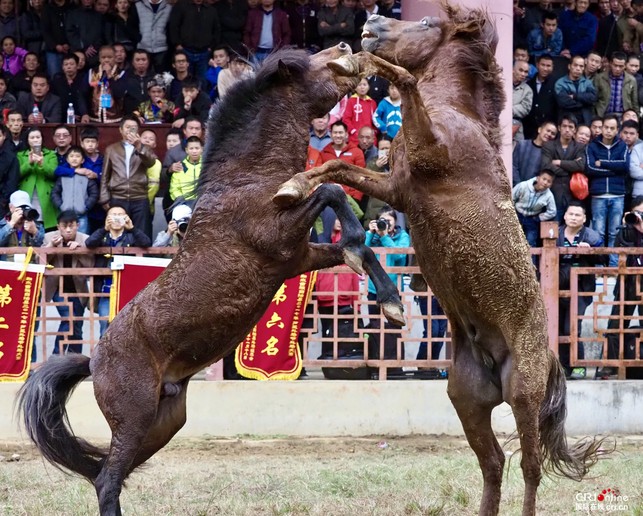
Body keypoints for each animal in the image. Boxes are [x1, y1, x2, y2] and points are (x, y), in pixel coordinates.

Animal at [17, 44, 406, 516]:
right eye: (312, 64)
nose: (350, 48)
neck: (246, 179)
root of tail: (93, 361)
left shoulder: (296, 258)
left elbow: (359, 247)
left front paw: (392, 303)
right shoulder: (278, 236)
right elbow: (329, 192)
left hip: (164, 421)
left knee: (104, 475)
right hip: (135, 417)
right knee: (107, 479)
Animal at [276, 4, 608, 516]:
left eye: (427, 24)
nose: (370, 24)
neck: (455, 114)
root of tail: (547, 354)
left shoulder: (423, 159)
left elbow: (405, 82)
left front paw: (362, 65)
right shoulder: (395, 186)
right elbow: (336, 167)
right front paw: (292, 185)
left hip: (524, 395)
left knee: (530, 467)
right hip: (466, 400)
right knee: (493, 463)